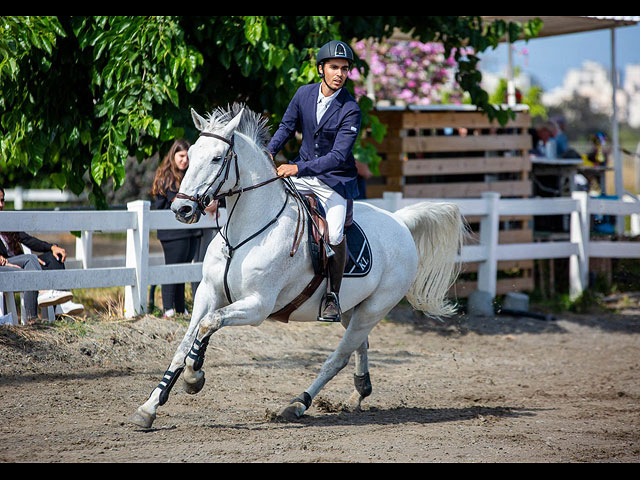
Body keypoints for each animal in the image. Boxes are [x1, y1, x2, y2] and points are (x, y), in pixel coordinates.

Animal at [130, 104, 468, 428]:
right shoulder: (207, 293)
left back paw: (298, 403)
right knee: (360, 346)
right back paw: (359, 392)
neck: (242, 236)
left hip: (374, 309)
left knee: (339, 357)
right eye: (189, 157)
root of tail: (399, 221)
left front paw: (193, 377)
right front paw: (150, 406)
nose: (182, 208)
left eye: (216, 158)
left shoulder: (257, 306)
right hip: (352, 309)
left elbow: (209, 324)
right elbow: (186, 342)